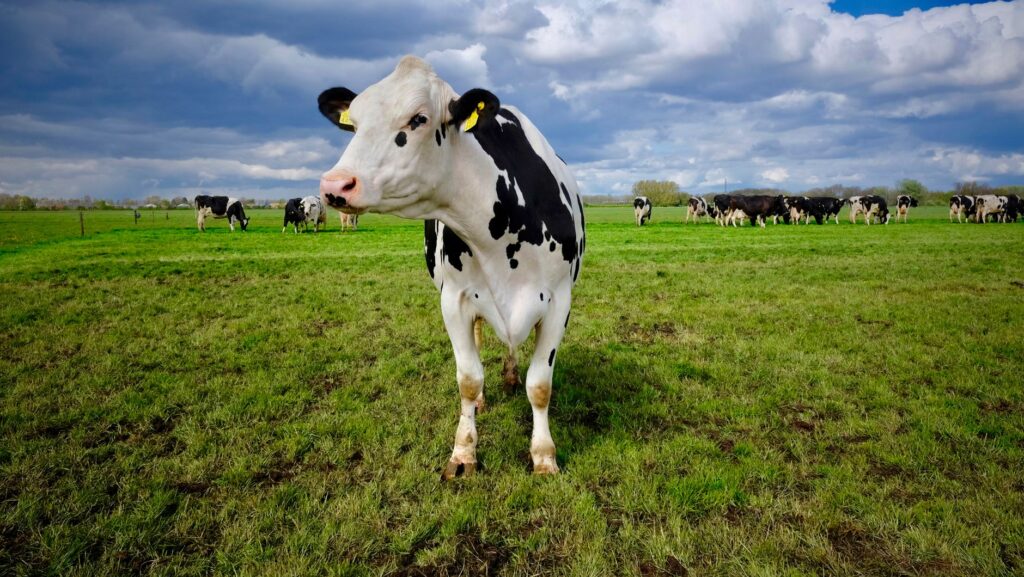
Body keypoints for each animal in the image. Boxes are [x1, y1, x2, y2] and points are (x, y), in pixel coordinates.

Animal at [317, 56, 585, 478]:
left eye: (419, 119)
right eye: (354, 123)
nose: (335, 185)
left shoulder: (559, 301)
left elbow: (540, 384)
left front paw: (544, 456)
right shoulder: (454, 301)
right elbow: (468, 379)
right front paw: (463, 453)